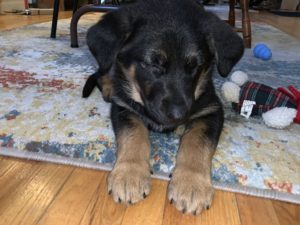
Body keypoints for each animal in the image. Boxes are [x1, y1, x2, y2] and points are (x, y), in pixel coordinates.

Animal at [82, 0, 244, 214]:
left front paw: (191, 184)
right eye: (153, 64)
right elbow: (133, 134)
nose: (179, 115)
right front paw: (130, 174)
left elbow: (196, 142)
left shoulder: (211, 109)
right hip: (107, 63)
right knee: (103, 71)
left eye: (195, 66)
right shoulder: (124, 107)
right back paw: (109, 86)